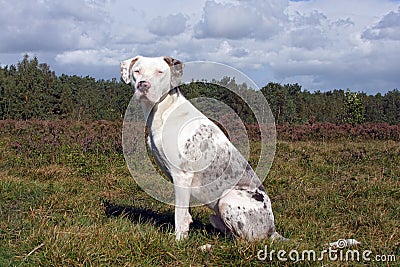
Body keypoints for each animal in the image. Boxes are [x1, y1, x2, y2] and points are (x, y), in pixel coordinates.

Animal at [120, 55, 282, 242]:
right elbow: (185, 213)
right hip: (215, 216)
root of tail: (272, 229)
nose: (143, 85)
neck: (164, 111)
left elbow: (179, 215)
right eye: (137, 71)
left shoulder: (181, 175)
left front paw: (178, 241)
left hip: (227, 198)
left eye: (160, 72)